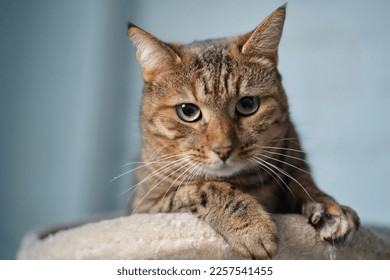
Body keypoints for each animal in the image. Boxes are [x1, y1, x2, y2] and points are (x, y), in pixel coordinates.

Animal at [127, 5, 360, 260]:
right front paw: (251, 226)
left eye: (247, 104)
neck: (244, 182)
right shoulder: (148, 206)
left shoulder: (293, 159)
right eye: (188, 111)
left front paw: (330, 208)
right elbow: (203, 187)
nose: (223, 150)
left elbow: (304, 184)